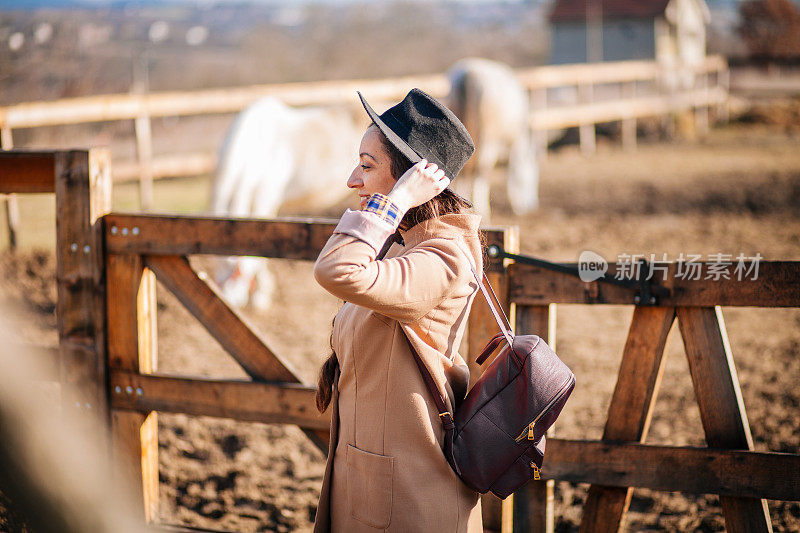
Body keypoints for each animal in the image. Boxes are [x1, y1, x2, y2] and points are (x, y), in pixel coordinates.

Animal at [444, 57, 536, 216]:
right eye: (532, 181)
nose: (531, 206)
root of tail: (469, 73)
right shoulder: (514, 141)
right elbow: (512, 168)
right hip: (488, 139)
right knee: (482, 170)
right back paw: (483, 209)